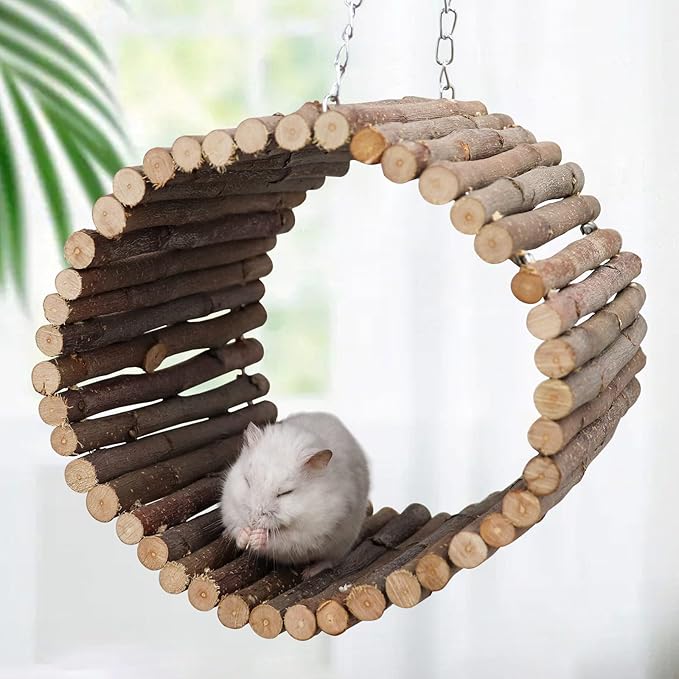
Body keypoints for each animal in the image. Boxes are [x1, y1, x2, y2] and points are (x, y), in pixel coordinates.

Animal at [220, 412, 370, 578]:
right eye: (247, 481)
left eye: (285, 493)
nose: (253, 521)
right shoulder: (229, 505)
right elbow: (236, 525)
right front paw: (246, 535)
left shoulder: (311, 532)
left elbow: (283, 540)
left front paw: (257, 538)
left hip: (342, 544)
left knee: (331, 560)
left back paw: (309, 573)